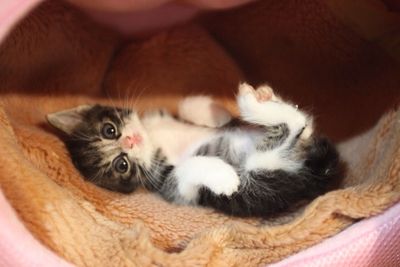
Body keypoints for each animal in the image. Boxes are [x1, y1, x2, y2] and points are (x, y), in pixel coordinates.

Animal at [46, 84, 340, 218]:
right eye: (122, 165)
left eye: (110, 130)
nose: (130, 141)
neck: (153, 139)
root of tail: (319, 173)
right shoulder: (170, 186)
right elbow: (187, 170)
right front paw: (224, 177)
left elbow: (185, 105)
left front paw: (215, 113)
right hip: (266, 171)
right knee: (293, 126)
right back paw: (251, 104)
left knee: (303, 126)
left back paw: (260, 99)